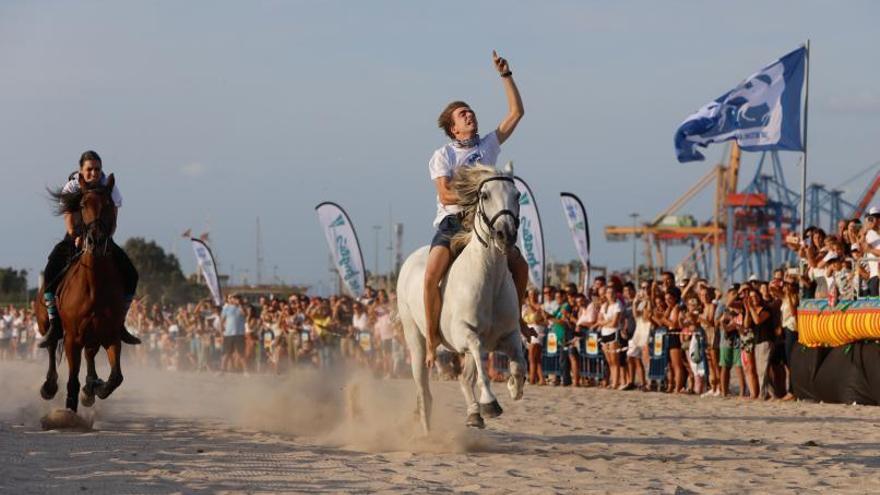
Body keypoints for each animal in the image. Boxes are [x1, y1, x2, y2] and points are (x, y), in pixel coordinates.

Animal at [36, 173, 127, 410]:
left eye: (109, 204)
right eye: (83, 204)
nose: (96, 241)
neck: (94, 287)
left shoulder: (111, 334)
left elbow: (116, 377)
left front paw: (95, 388)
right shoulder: (72, 338)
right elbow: (71, 382)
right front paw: (71, 405)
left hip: (93, 336)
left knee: (90, 355)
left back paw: (91, 385)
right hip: (46, 323)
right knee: (51, 346)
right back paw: (49, 386)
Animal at [400, 165, 528, 432]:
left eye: (517, 194)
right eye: (485, 195)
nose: (505, 235)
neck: (488, 279)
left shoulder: (508, 334)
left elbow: (519, 364)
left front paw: (513, 387)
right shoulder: (464, 335)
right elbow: (480, 362)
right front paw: (490, 403)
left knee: (463, 378)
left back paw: (474, 415)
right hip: (415, 340)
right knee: (424, 390)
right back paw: (428, 433)